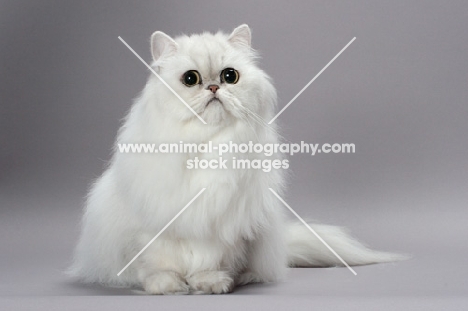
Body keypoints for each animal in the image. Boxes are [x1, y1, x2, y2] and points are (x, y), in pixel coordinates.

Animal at [68, 24, 402, 294]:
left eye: (230, 76)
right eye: (190, 79)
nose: (214, 87)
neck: (207, 146)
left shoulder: (226, 224)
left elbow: (210, 261)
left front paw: (209, 283)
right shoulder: (153, 226)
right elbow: (160, 262)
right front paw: (167, 286)